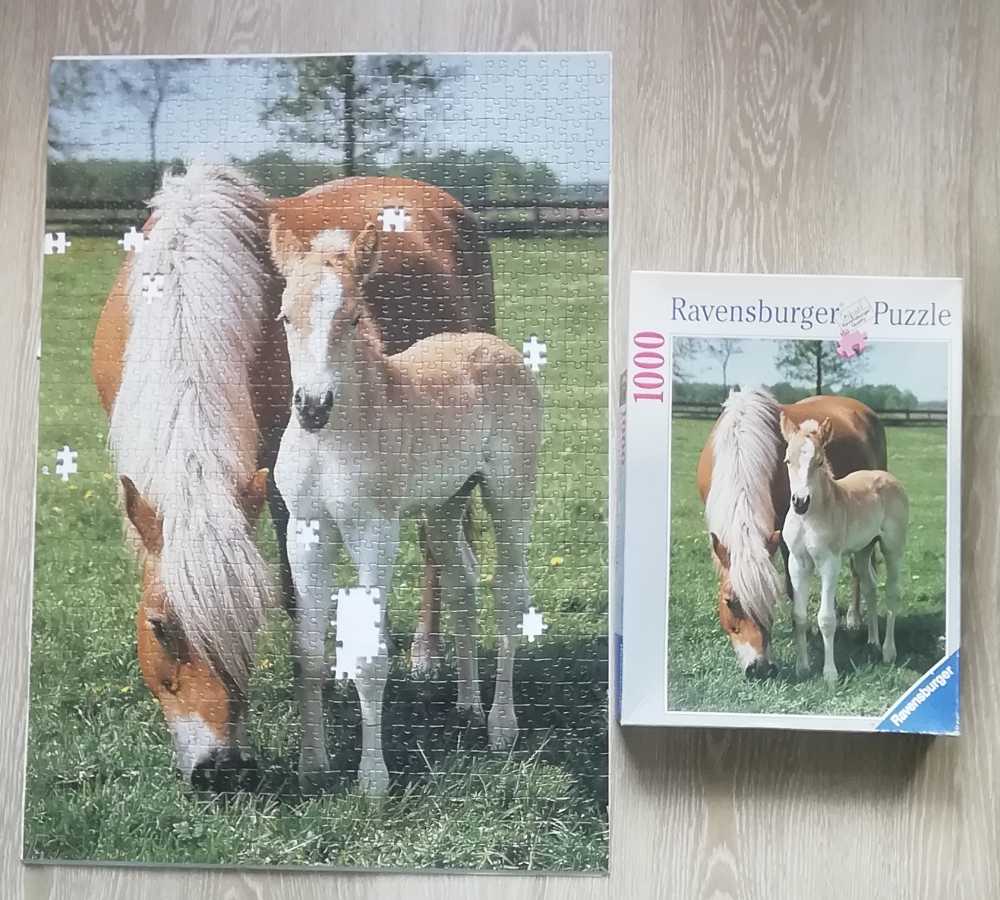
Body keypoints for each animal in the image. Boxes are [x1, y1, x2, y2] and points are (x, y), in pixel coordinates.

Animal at [93, 167, 495, 790]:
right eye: (159, 627)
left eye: (250, 620)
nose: (221, 769)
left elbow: (291, 590)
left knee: (439, 552)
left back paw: (428, 657)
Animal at [271, 221, 541, 794]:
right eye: (285, 316)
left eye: (353, 317)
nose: (312, 407)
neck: (334, 441)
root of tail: (494, 345)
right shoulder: (306, 530)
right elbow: (307, 650)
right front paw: (312, 766)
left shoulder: (375, 531)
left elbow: (370, 654)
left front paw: (373, 781)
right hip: (445, 504)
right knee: (463, 579)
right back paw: (467, 704)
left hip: (509, 495)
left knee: (509, 591)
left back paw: (501, 724)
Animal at [696, 387, 887, 678]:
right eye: (729, 602)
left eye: (770, 600)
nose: (760, 669)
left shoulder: (787, 538)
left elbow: (791, 587)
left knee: (859, 570)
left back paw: (854, 620)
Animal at [781, 415, 909, 682]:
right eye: (787, 460)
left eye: (819, 461)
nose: (800, 502)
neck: (809, 519)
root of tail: (887, 476)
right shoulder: (797, 562)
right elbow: (799, 616)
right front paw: (802, 668)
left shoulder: (830, 562)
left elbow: (826, 618)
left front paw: (830, 674)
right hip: (863, 549)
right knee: (871, 587)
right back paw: (872, 642)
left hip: (893, 547)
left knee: (892, 592)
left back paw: (888, 651)